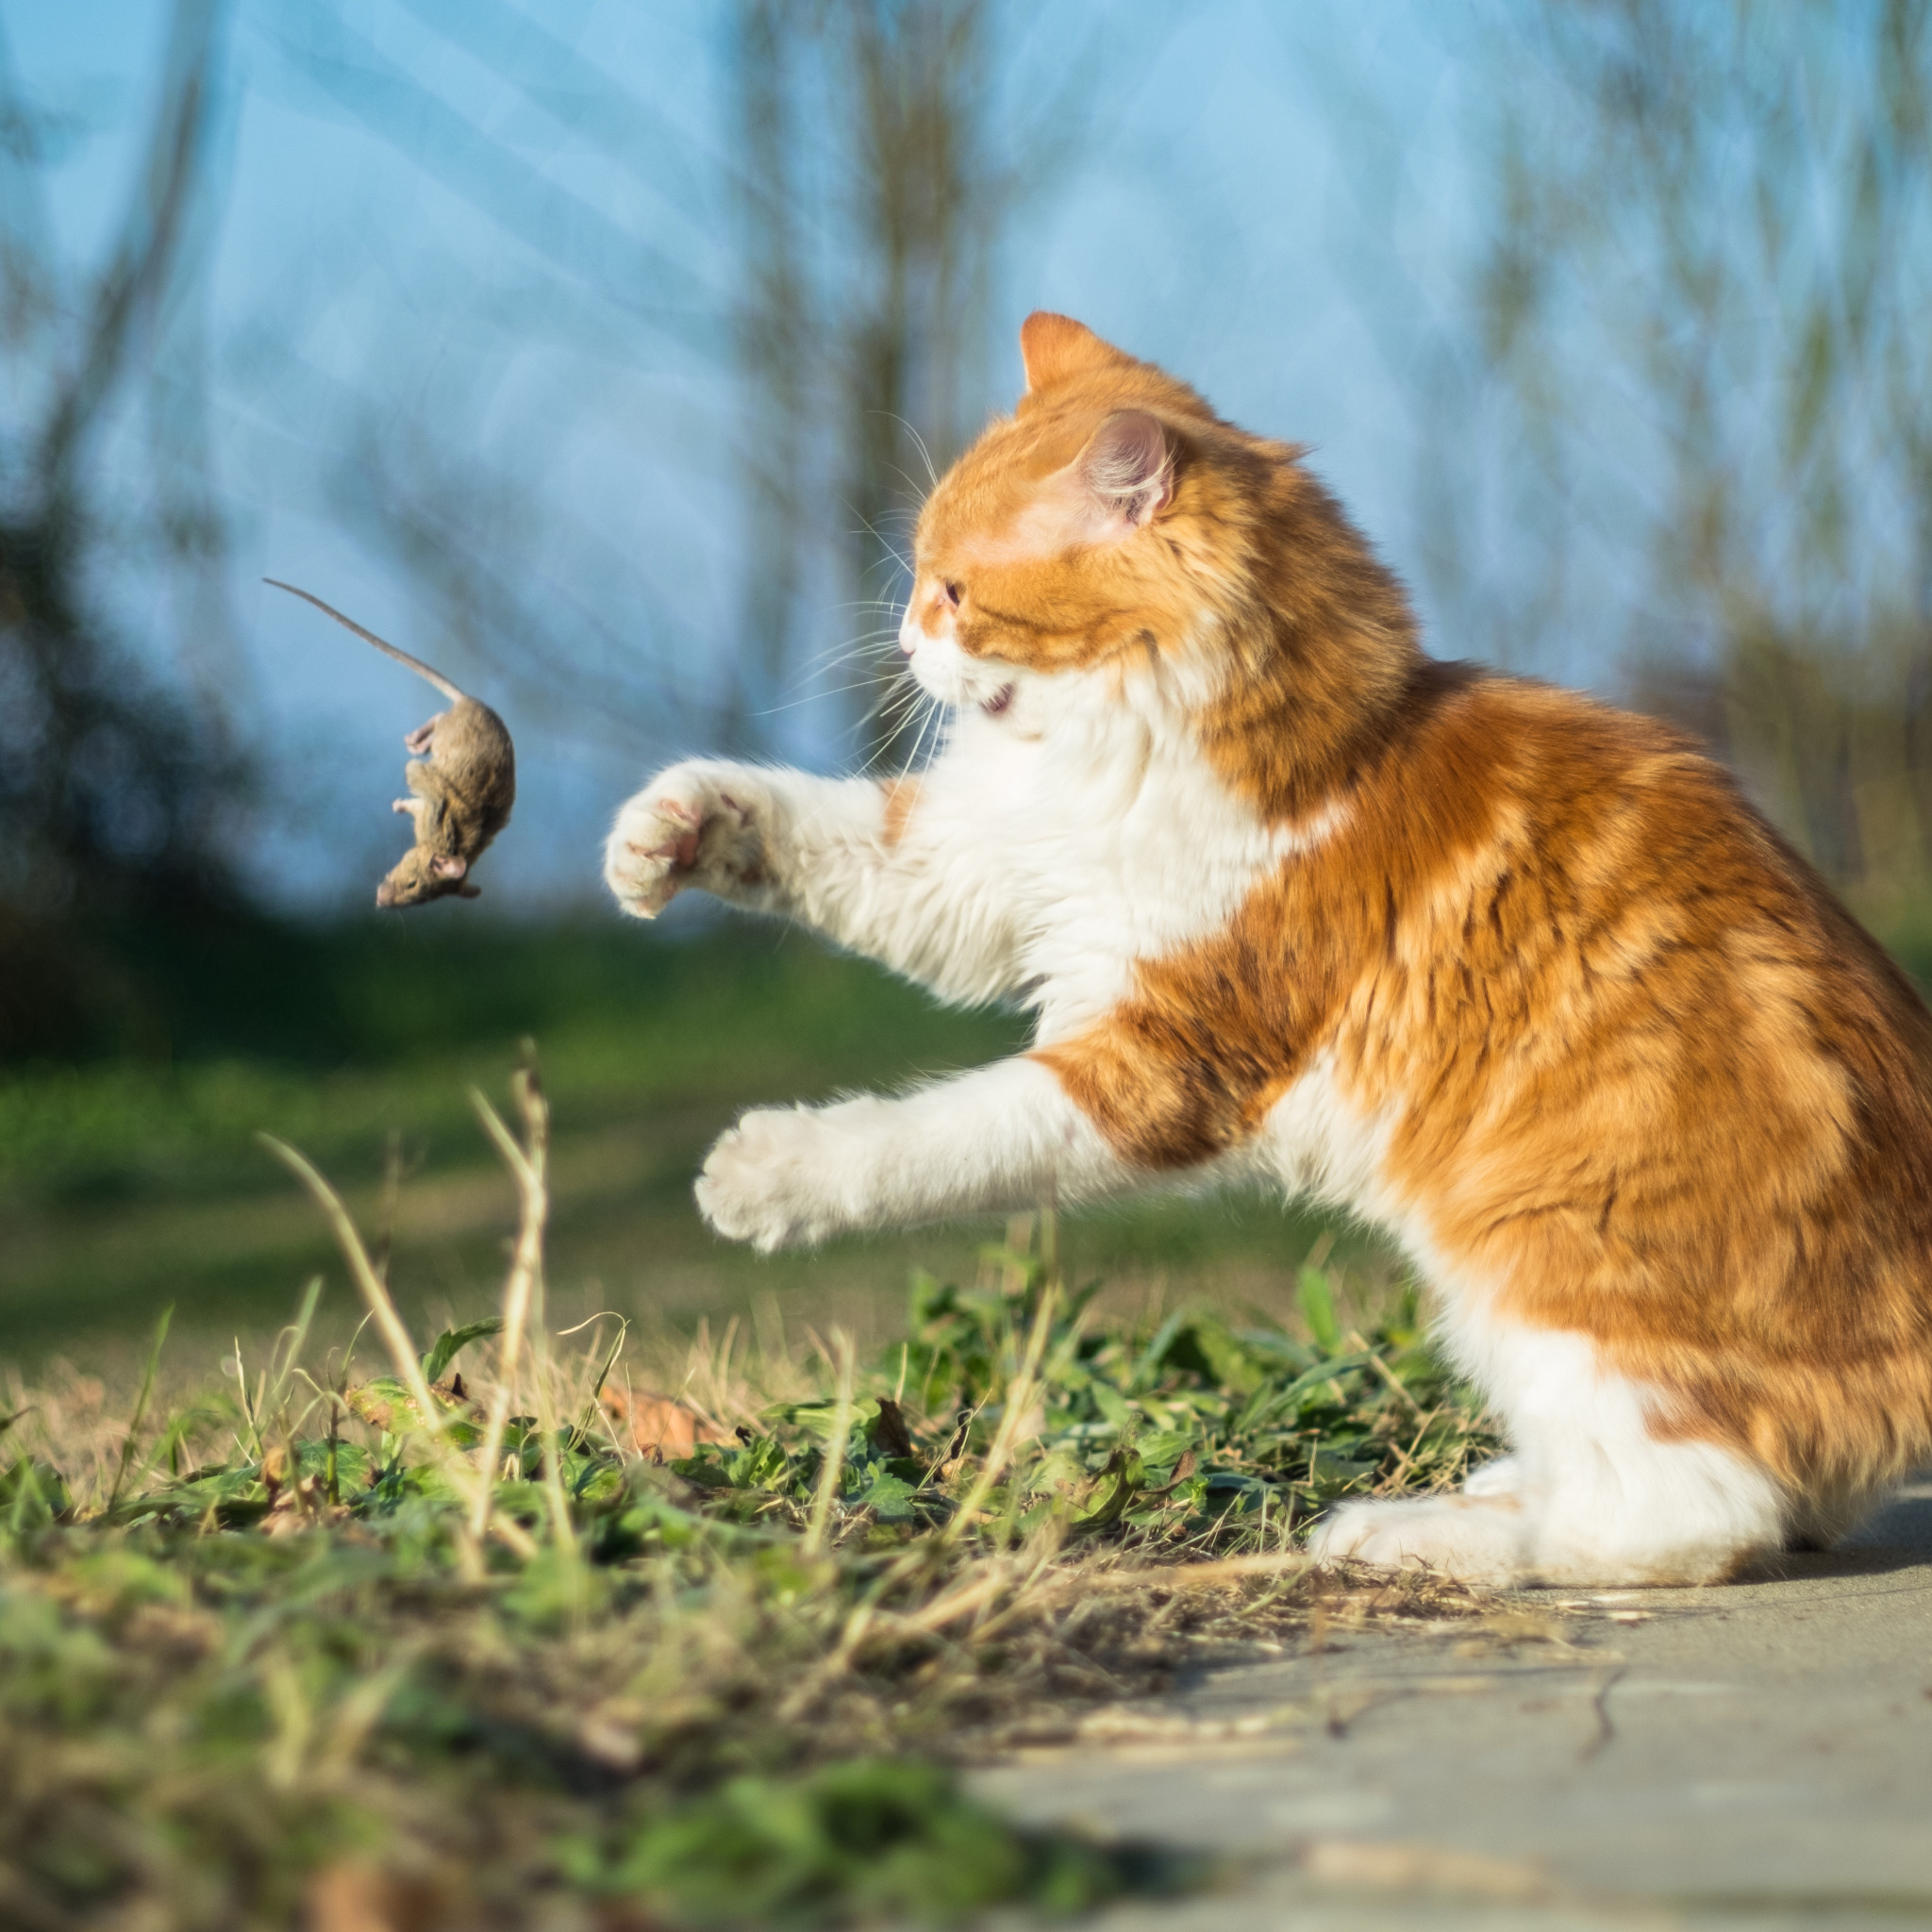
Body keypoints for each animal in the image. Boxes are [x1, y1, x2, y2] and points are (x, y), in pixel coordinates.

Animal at [602, 312, 1932, 1584]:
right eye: (923, 583)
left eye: (955, 592)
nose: (902, 635)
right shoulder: (976, 870)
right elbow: (815, 834)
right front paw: (672, 827)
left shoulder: (1157, 1060)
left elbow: (928, 1134)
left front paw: (769, 1171)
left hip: (1540, 1264)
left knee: (1681, 1516)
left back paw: (1420, 1534)